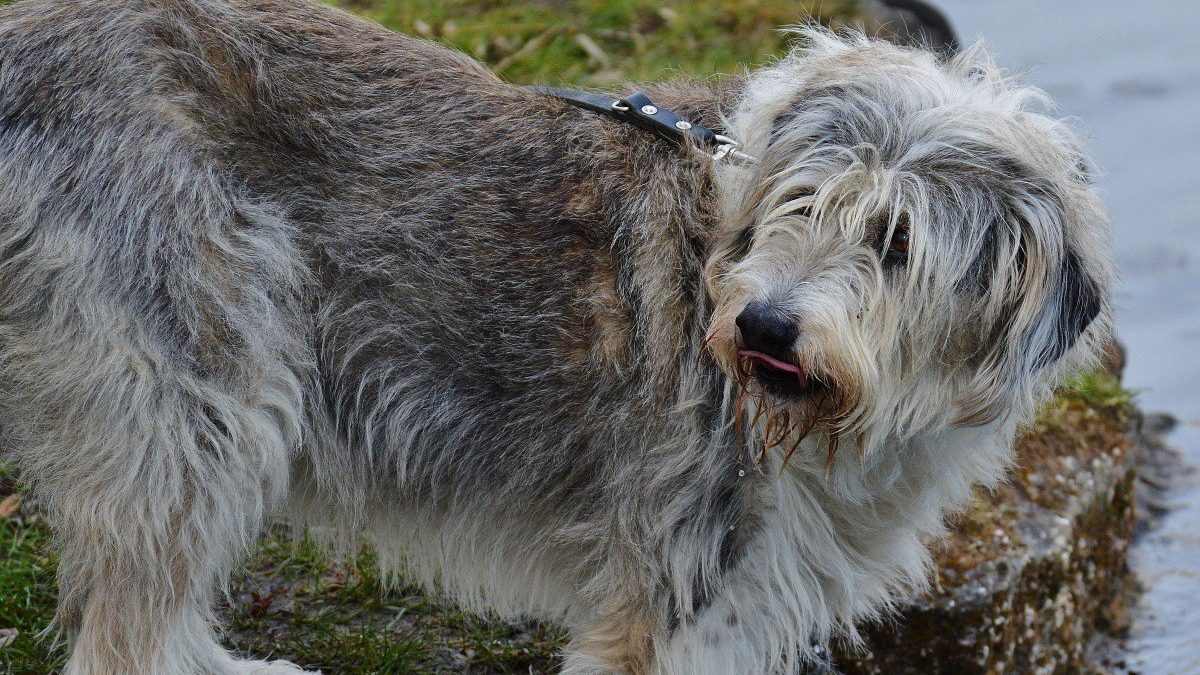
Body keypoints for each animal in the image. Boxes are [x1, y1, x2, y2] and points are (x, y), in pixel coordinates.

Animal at [0, 0, 1113, 667]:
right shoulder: (666, 598)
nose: (760, 322)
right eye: (795, 204)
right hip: (201, 399)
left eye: (895, 240)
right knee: (127, 636)